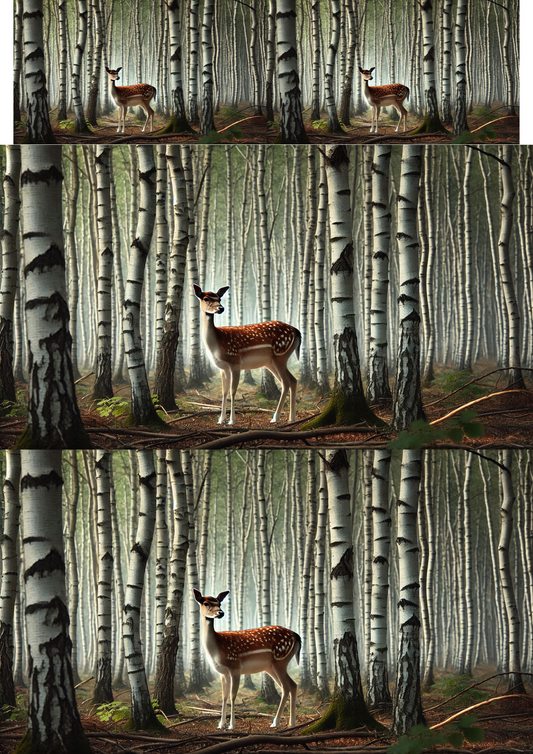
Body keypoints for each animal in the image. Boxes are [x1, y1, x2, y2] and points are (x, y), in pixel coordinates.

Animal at [193, 285, 301, 425]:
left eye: (219, 298)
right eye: (206, 298)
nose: (221, 308)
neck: (216, 344)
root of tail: (297, 331)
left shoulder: (235, 362)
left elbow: (232, 391)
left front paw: (231, 420)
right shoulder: (223, 368)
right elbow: (224, 392)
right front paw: (221, 419)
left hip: (280, 355)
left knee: (286, 382)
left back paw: (275, 418)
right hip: (271, 362)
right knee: (292, 380)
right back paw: (291, 418)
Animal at [193, 589, 301, 730]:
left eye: (219, 603)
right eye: (206, 603)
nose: (221, 613)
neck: (216, 648)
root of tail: (297, 636)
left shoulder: (235, 666)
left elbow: (232, 696)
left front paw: (231, 725)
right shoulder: (223, 672)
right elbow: (224, 696)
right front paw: (221, 724)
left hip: (280, 659)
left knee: (286, 687)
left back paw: (275, 722)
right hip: (271, 666)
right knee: (292, 685)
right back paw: (291, 723)